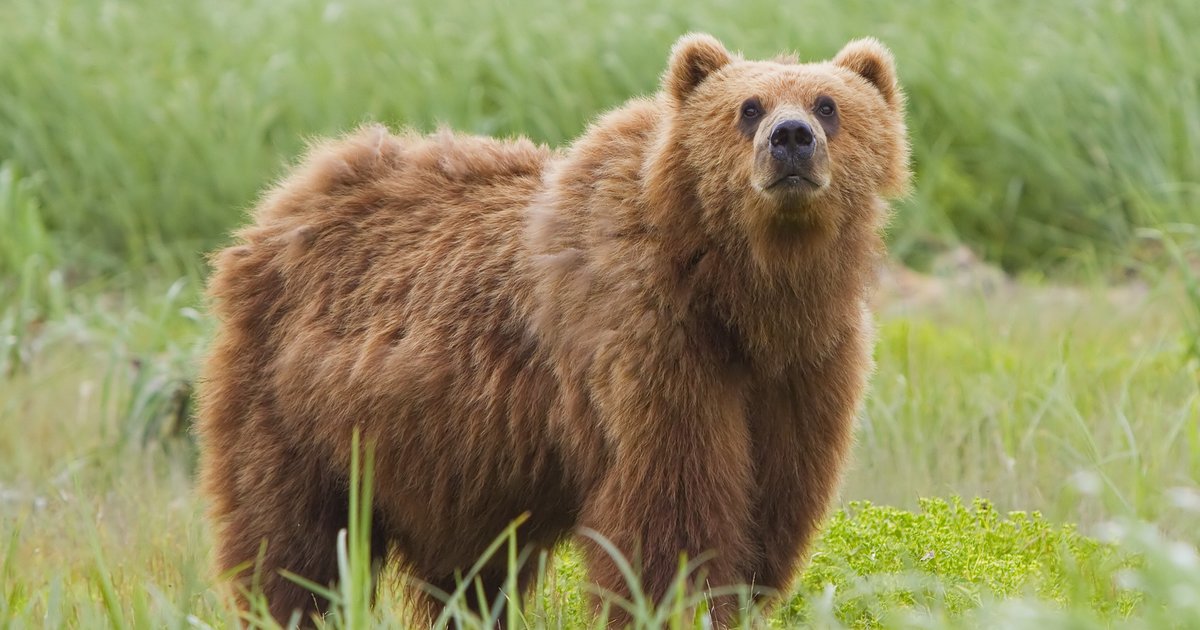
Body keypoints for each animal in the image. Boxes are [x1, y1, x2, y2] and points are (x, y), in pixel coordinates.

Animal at [196, 32, 909, 627]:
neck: (743, 296)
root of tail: (286, 196)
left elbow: (772, 507)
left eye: (828, 104)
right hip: (294, 407)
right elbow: (671, 515)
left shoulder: (804, 371)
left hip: (449, 460)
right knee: (291, 542)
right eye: (749, 108)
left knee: (466, 572)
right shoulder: (650, 344)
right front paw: (679, 603)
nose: (791, 138)